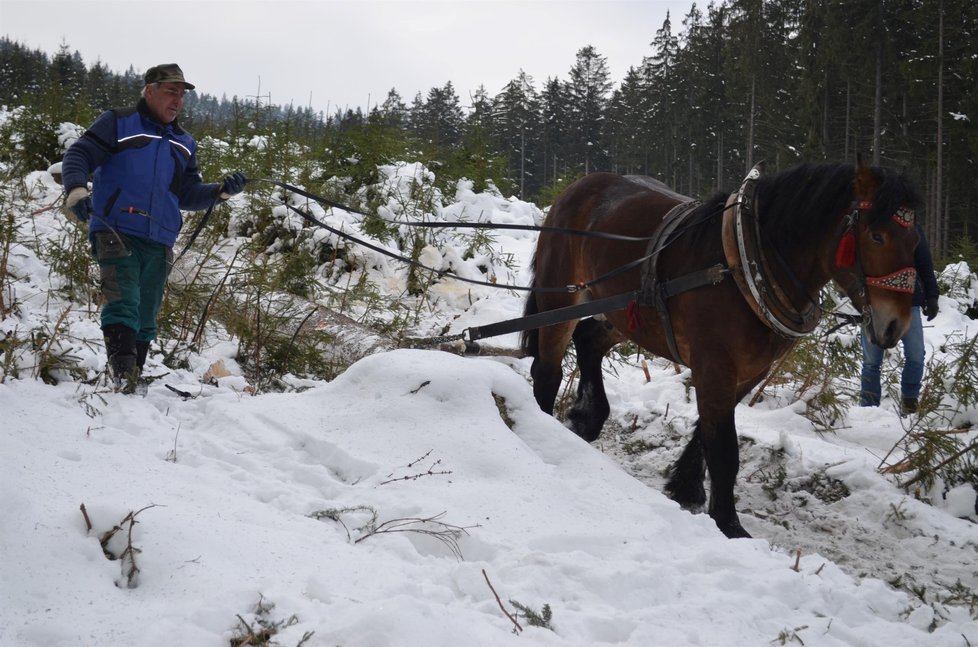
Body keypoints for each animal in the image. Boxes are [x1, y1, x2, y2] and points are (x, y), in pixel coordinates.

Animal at [524, 161, 920, 536]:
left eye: (916, 239)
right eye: (877, 235)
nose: (895, 325)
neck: (745, 266)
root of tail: (578, 186)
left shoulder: (749, 371)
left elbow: (707, 433)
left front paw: (686, 487)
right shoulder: (714, 364)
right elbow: (725, 447)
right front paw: (729, 523)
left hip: (625, 313)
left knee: (589, 339)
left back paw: (588, 417)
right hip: (560, 297)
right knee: (548, 369)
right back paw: (539, 429)